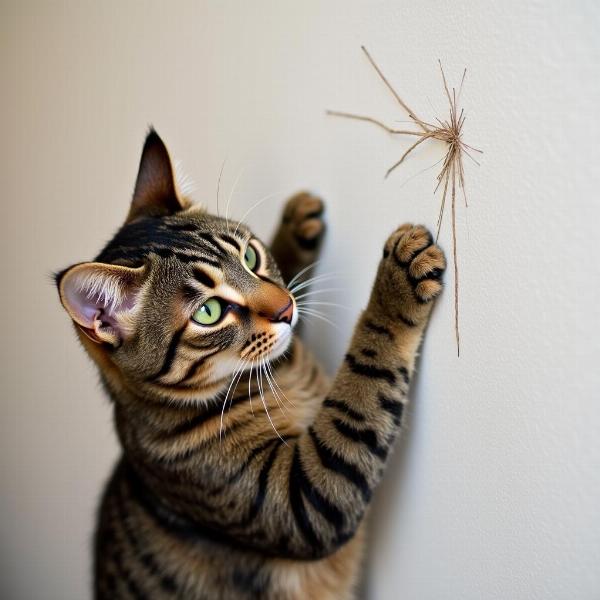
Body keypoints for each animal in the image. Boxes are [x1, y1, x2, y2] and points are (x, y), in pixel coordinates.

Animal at [56, 131, 446, 600]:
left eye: (250, 258)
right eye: (208, 312)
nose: (285, 309)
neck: (282, 375)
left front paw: (294, 229)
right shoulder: (305, 500)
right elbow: (365, 374)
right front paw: (395, 286)